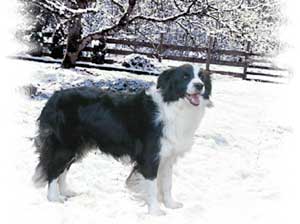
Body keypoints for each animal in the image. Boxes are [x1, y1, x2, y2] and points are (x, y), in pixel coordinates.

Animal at [32, 63, 211, 215]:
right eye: (185, 76)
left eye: (201, 77)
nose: (199, 86)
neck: (174, 106)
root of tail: (53, 97)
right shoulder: (150, 157)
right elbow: (152, 186)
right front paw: (155, 212)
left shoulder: (167, 157)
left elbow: (167, 183)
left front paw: (170, 204)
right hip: (64, 144)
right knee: (53, 169)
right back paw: (54, 198)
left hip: (77, 146)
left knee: (63, 169)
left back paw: (66, 192)